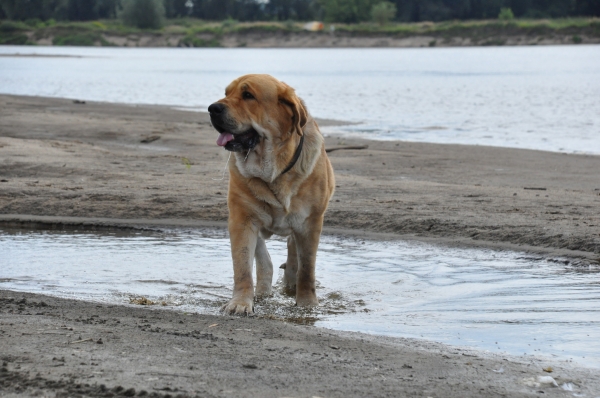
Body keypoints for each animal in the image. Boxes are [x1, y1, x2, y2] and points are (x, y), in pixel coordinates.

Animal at [209, 74, 336, 314]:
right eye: (226, 93)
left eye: (248, 95)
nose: (212, 108)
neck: (273, 173)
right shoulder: (242, 219)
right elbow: (242, 266)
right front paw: (241, 303)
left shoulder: (310, 222)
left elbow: (307, 268)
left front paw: (307, 305)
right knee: (264, 260)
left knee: (294, 254)